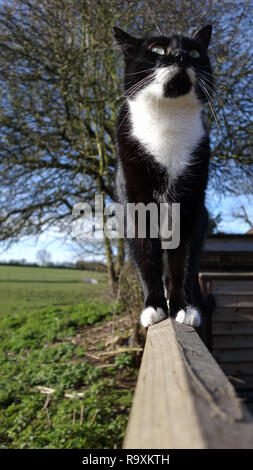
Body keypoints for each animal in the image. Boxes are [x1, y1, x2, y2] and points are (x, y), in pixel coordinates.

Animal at [113, 24, 214, 326]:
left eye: (195, 52)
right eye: (157, 49)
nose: (181, 56)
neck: (168, 124)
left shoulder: (192, 204)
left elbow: (183, 260)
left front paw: (183, 308)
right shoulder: (134, 199)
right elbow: (146, 257)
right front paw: (154, 306)